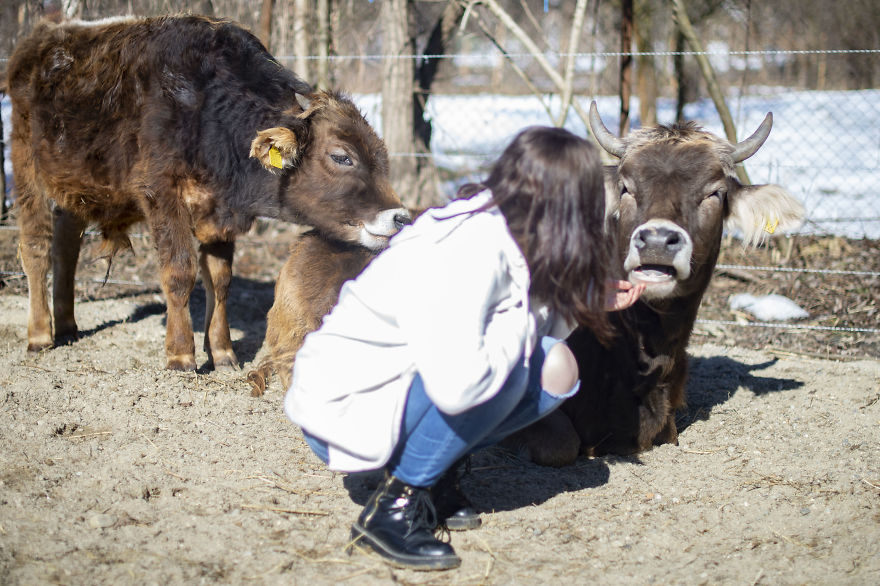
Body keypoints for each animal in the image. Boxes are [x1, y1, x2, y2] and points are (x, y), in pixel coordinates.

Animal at [7, 15, 410, 371]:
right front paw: (181, 354)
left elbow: (219, 279)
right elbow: (179, 272)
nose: (400, 217)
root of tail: (42, 39)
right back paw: (40, 334)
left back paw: (67, 325)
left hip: (75, 186)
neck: (207, 112)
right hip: (27, 167)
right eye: (342, 156)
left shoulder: (219, 213)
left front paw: (222, 351)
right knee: (36, 247)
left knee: (66, 245)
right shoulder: (162, 197)